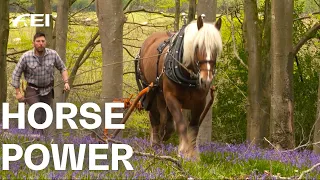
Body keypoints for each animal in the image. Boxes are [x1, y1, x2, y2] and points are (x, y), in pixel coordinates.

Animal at [136, 16, 222, 158]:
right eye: (197, 46)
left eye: (216, 48)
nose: (206, 80)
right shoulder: (171, 98)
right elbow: (181, 124)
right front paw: (183, 151)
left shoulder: (200, 102)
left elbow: (193, 127)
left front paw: (193, 154)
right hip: (150, 92)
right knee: (155, 119)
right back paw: (156, 145)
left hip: (160, 96)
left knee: (166, 123)